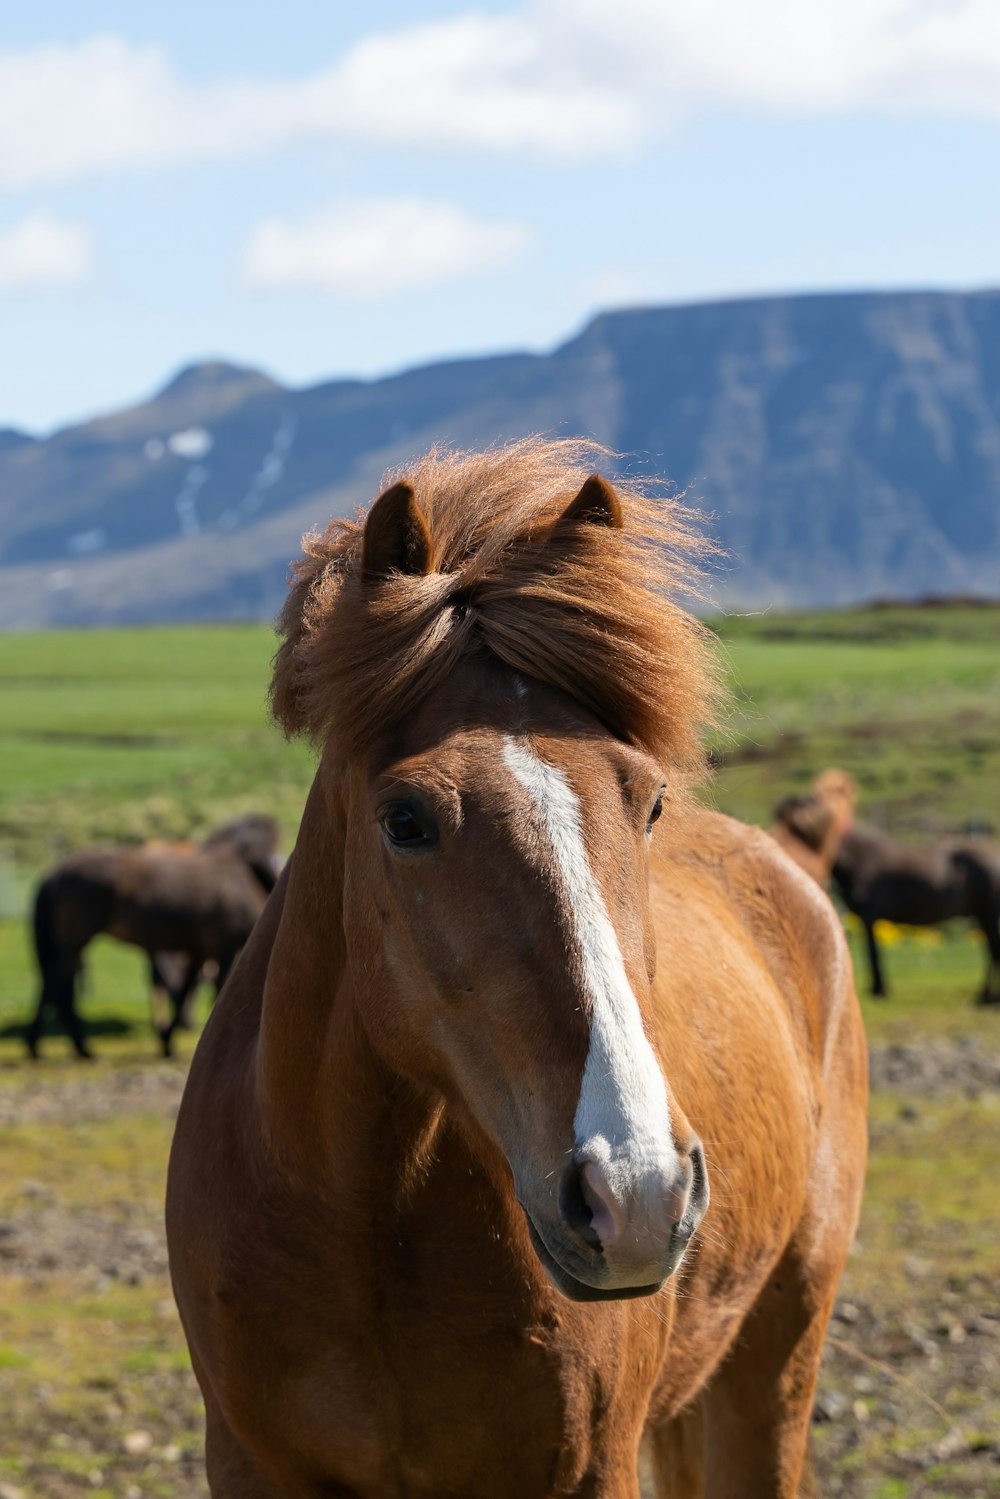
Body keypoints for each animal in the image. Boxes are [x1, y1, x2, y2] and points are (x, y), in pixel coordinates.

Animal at [166, 437, 869, 1499]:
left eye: (649, 802)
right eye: (405, 819)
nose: (637, 1194)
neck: (363, 1228)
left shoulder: (590, 1467)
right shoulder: (248, 1463)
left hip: (776, 1354)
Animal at [827, 821, 1000, 1007]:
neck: (859, 859)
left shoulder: (869, 917)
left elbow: (873, 955)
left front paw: (879, 990)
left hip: (987, 914)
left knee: (993, 950)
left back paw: (989, 997)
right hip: (982, 915)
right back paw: (985, 995)